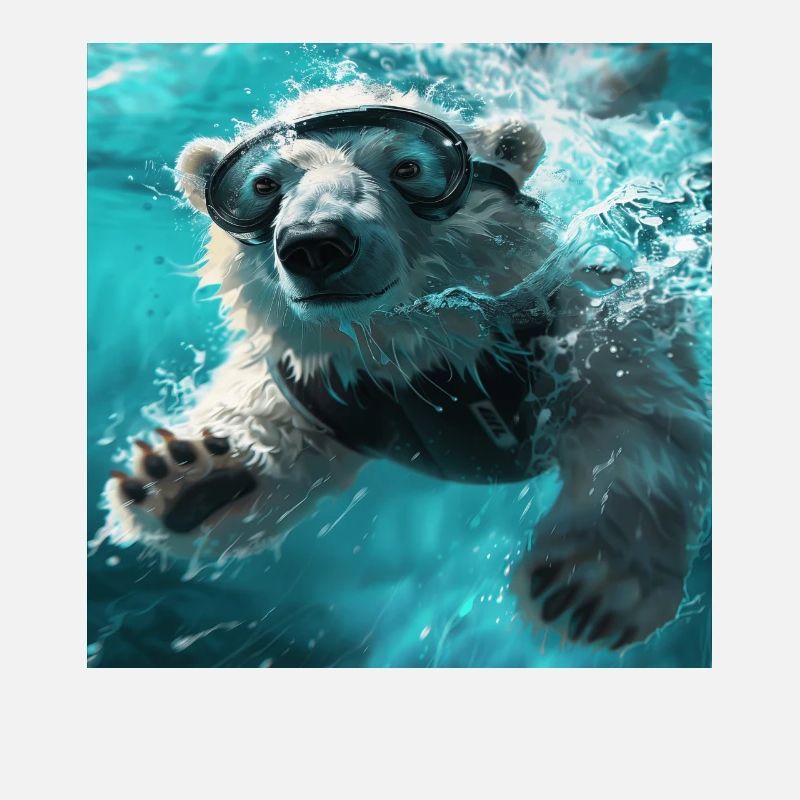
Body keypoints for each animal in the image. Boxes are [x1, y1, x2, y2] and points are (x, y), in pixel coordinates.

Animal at [105, 80, 710, 650]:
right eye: (263, 184)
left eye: (409, 167)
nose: (315, 244)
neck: (424, 351)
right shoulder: (323, 380)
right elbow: (281, 443)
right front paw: (186, 477)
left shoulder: (588, 321)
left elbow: (645, 422)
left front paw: (592, 588)